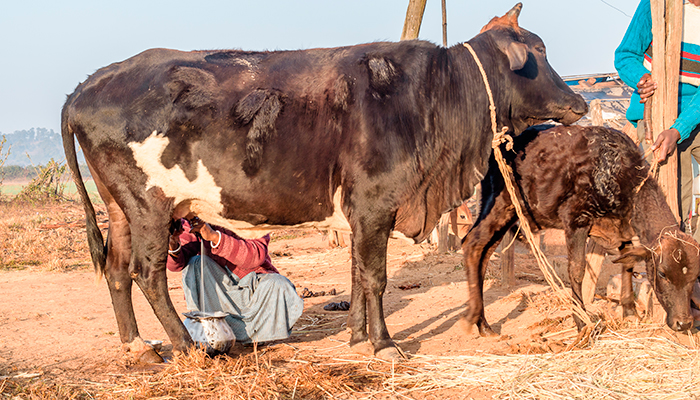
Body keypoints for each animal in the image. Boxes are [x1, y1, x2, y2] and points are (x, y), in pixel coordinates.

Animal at [60, 3, 588, 360]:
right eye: (539, 51)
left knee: (116, 269)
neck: (439, 94)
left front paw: (356, 336)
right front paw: (383, 344)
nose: (580, 103)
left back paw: (139, 348)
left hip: (120, 208)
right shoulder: (375, 206)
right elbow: (375, 277)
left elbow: (356, 273)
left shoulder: (360, 212)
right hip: (150, 205)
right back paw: (186, 348)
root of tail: (85, 87)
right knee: (146, 273)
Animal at [462, 125, 696, 338]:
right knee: (472, 244)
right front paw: (581, 321)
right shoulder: (576, 220)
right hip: (501, 205)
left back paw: (483, 324)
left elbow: (628, 264)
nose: (684, 323)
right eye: (662, 273)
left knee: (484, 254)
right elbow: (576, 270)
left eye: (695, 276)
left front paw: (629, 310)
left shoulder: (624, 233)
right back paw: (475, 318)